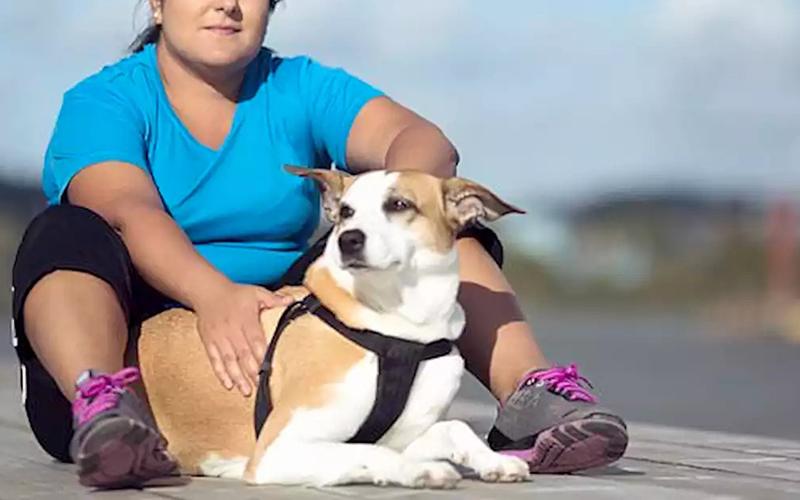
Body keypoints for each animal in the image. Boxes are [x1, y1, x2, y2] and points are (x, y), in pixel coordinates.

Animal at [138, 168, 532, 488]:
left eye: (399, 204)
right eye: (346, 212)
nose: (348, 239)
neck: (401, 330)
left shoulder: (401, 435)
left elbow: (455, 428)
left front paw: (495, 461)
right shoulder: (277, 450)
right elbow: (369, 451)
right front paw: (422, 470)